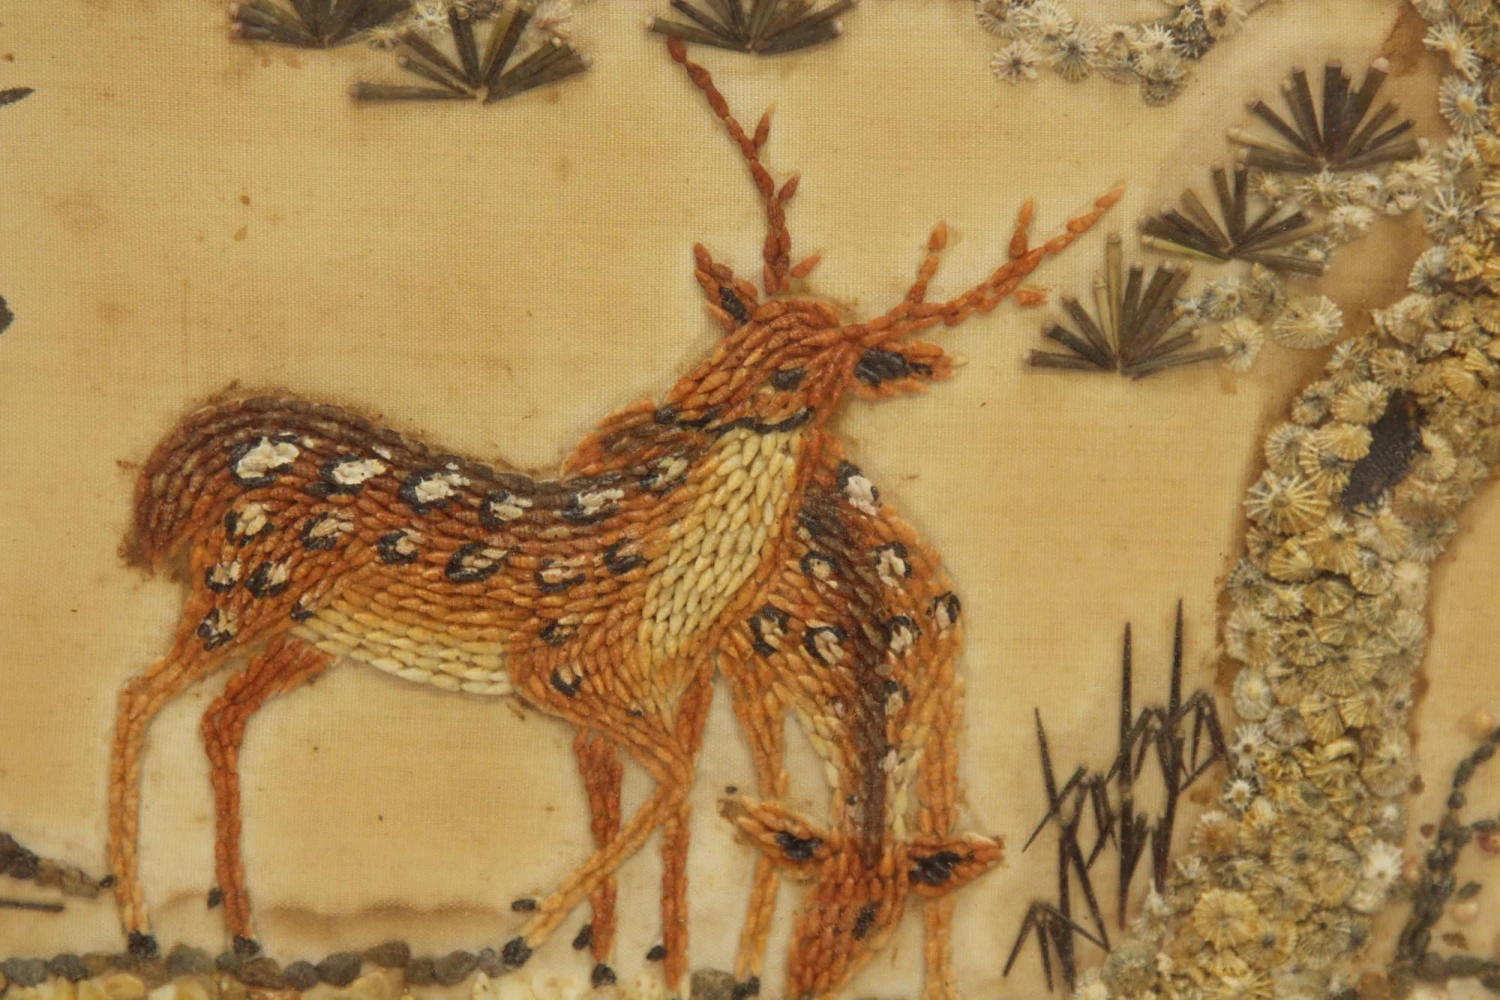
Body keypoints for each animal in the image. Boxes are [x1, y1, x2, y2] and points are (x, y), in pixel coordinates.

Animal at [107, 36, 1120, 998]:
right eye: (741, 333)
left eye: (795, 369)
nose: (678, 410)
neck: (667, 581)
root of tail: (178, 464)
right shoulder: (558, 666)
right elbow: (667, 781)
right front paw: (527, 941)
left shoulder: (636, 683)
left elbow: (672, 783)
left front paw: (572, 944)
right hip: (240, 591)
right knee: (136, 695)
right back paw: (141, 926)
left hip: (303, 631)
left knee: (215, 717)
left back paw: (241, 932)